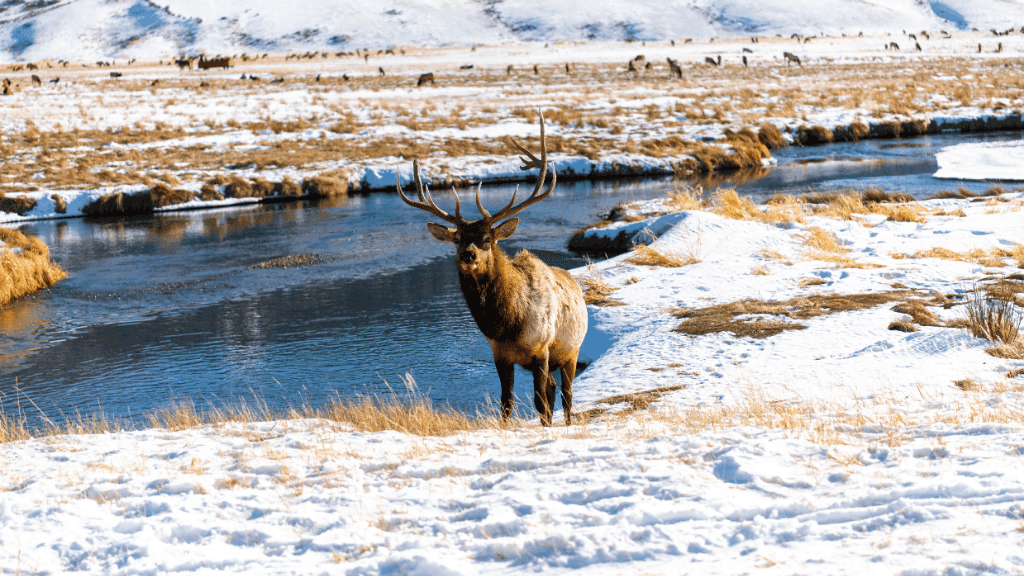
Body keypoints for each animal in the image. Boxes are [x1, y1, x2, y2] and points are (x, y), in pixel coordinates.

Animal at [396, 115, 588, 427]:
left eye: (487, 238)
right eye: (458, 239)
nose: (468, 254)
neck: (507, 324)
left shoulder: (542, 349)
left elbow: (540, 403)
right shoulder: (500, 355)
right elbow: (506, 403)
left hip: (571, 350)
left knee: (566, 396)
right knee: (554, 391)